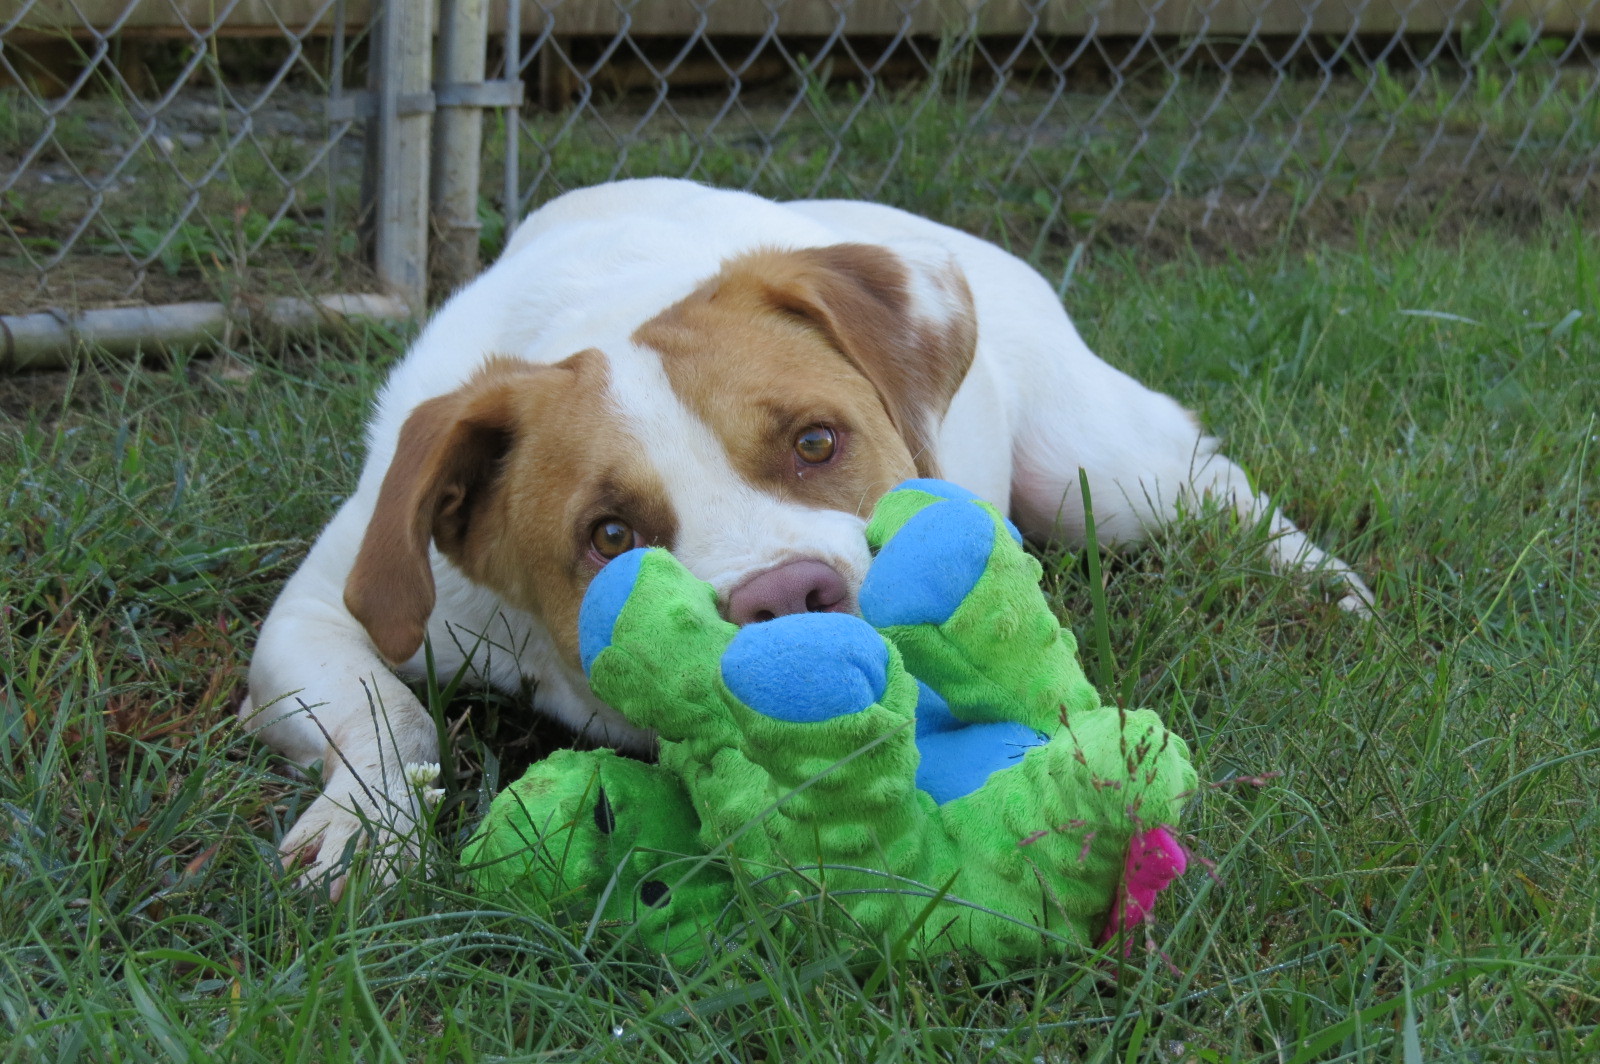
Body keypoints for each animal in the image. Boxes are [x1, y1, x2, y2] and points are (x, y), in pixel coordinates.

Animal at [240, 178, 1376, 889]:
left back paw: (1325, 586)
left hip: (1099, 472)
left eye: (816, 440)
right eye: (609, 533)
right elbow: (393, 719)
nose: (787, 603)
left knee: (1218, 485)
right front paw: (360, 832)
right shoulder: (318, 619)